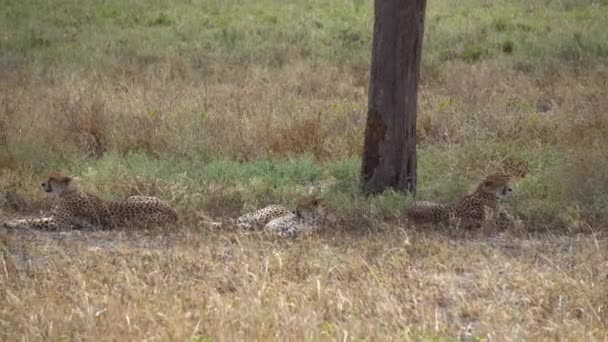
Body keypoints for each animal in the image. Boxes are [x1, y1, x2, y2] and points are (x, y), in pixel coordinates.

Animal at [2, 172, 178, 231]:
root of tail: (174, 213)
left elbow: (35, 222)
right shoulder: (54, 218)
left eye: (51, 178)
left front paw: (10, 224)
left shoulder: (60, 224)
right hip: (134, 196)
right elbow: (30, 219)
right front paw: (11, 222)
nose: (42, 184)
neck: (67, 192)